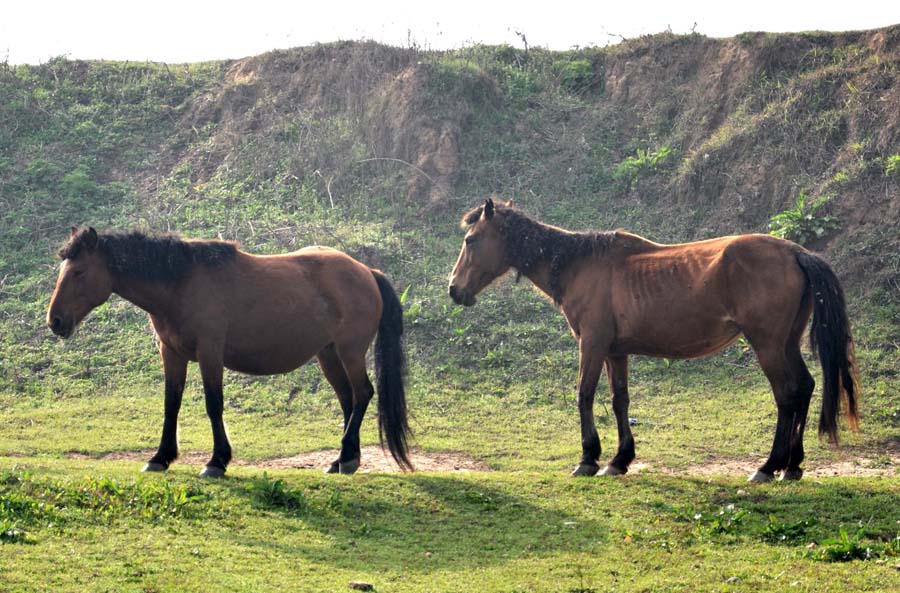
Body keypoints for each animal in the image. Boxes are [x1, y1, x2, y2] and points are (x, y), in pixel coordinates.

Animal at [48, 227, 412, 476]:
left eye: (79, 272)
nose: (55, 320)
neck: (180, 284)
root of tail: (367, 272)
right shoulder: (172, 354)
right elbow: (171, 404)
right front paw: (160, 457)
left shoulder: (210, 354)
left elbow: (214, 405)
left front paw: (217, 461)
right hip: (329, 355)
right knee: (348, 399)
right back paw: (342, 459)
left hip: (350, 351)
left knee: (362, 393)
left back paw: (347, 458)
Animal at [450, 199, 856, 480]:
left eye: (471, 239)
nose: (454, 289)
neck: (580, 264)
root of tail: (795, 251)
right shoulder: (615, 352)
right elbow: (620, 401)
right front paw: (619, 460)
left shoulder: (591, 345)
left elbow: (584, 395)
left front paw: (588, 458)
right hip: (785, 343)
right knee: (804, 387)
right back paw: (793, 465)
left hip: (767, 345)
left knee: (787, 394)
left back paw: (769, 466)